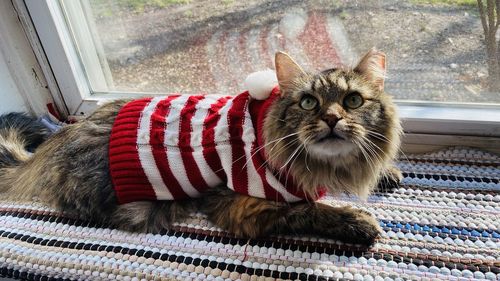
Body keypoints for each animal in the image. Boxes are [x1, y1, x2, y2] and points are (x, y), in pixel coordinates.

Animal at [0, 50, 402, 245]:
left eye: (352, 101)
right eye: (308, 103)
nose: (332, 119)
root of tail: (56, 141)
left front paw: (387, 172)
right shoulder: (241, 204)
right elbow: (310, 210)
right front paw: (356, 220)